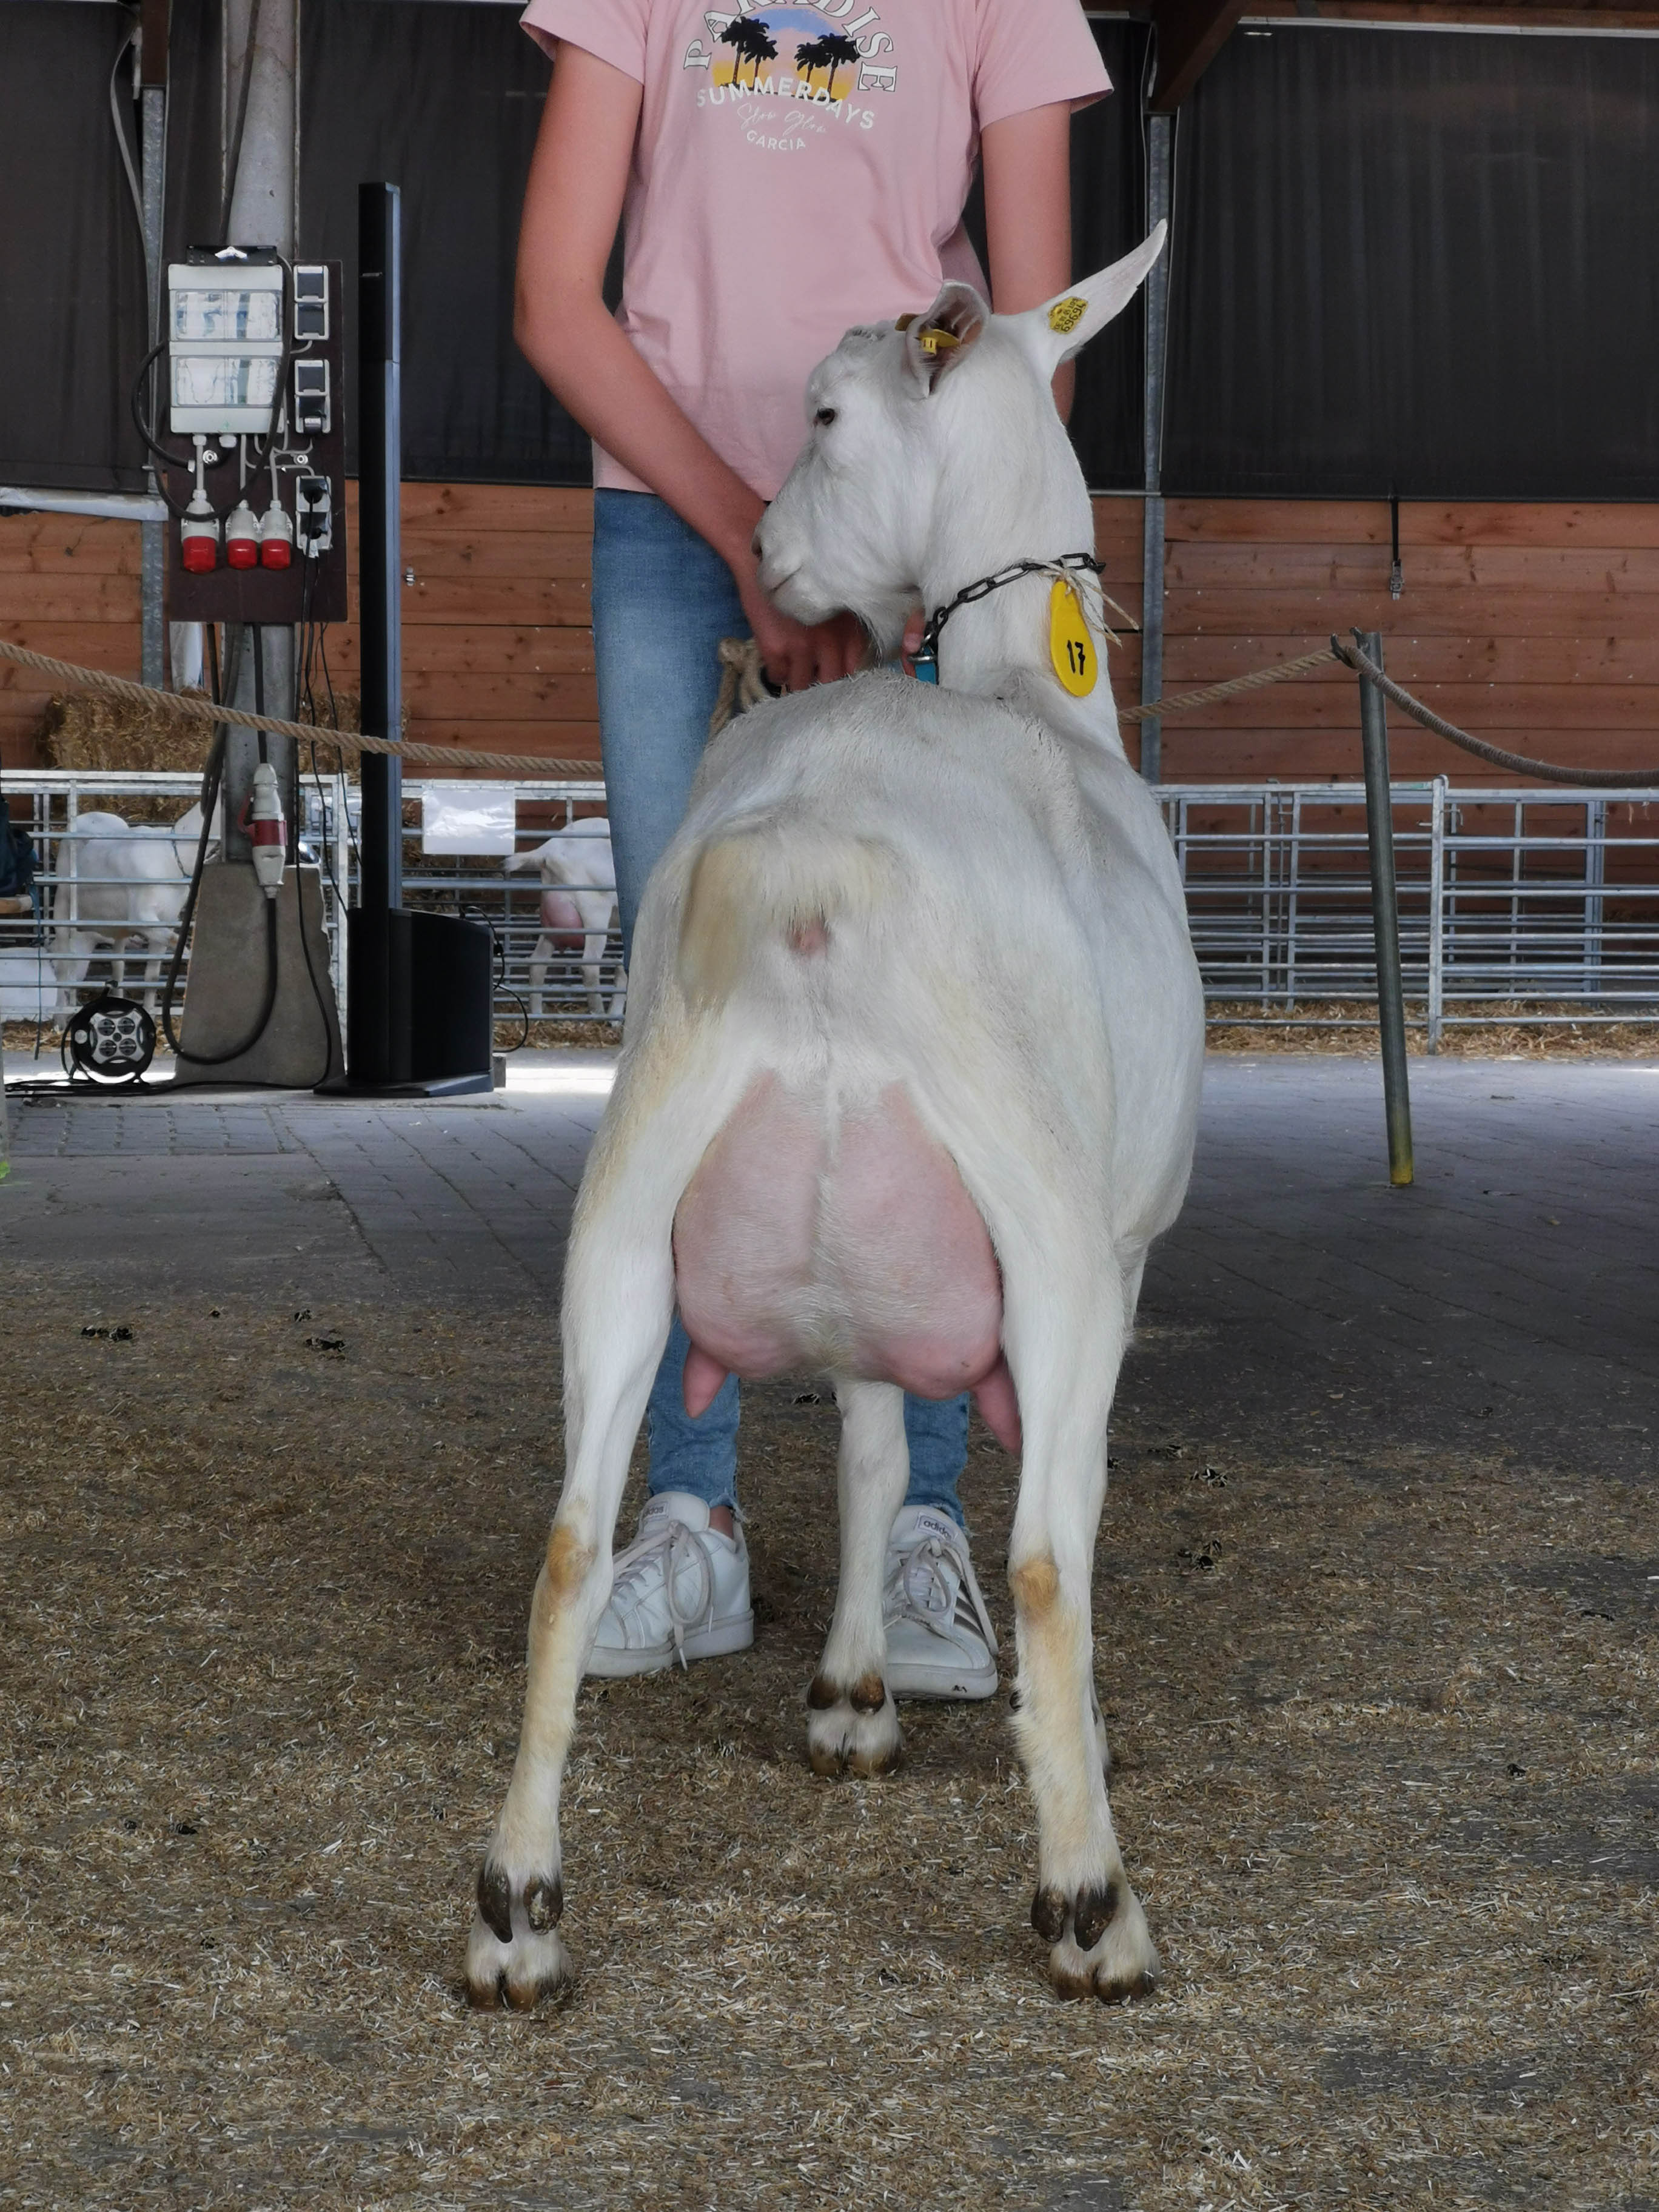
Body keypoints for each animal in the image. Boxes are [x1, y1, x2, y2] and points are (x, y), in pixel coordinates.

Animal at [52, 805, 212, 1021]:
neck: (171, 856)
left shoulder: (167, 919)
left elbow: (152, 976)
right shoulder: (142, 915)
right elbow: (180, 945)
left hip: (117, 925)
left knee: (116, 968)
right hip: (62, 902)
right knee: (63, 965)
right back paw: (59, 1020)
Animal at [504, 817, 626, 1017]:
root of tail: (548, 850)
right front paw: (616, 1016)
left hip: (552, 919)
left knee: (537, 963)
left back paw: (537, 1013)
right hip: (595, 912)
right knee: (589, 966)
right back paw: (598, 1013)